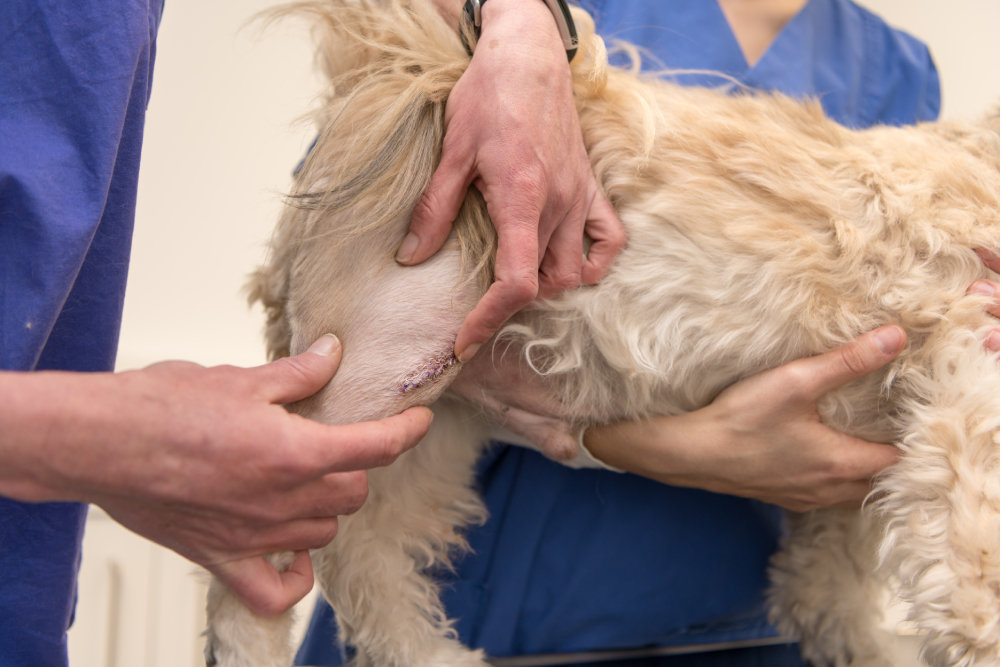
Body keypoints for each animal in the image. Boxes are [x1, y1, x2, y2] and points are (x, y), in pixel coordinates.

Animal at [199, 1, 1000, 667]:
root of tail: (400, 74)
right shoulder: (964, 372)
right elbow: (975, 563)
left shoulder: (862, 470)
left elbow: (824, 590)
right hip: (358, 392)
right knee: (251, 587)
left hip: (424, 427)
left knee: (367, 567)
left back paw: (436, 657)